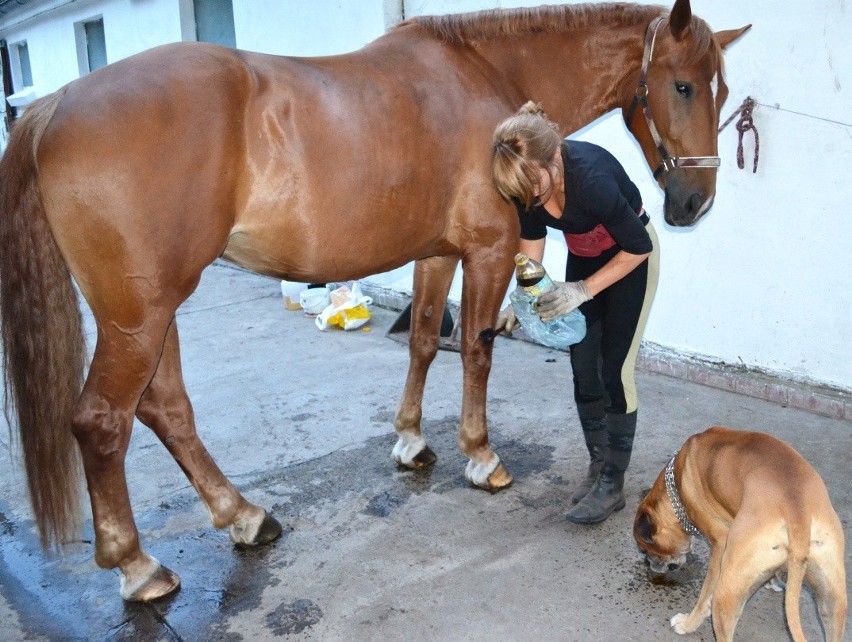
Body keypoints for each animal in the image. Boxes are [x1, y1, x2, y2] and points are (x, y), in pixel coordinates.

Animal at [0, 1, 744, 600]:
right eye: (681, 85)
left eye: (723, 88)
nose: (694, 203)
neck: (486, 75)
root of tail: (54, 106)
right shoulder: (488, 251)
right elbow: (476, 351)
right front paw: (482, 457)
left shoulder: (436, 253)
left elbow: (422, 341)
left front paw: (411, 442)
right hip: (139, 316)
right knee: (102, 422)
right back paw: (139, 567)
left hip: (149, 312)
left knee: (165, 408)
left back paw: (244, 517)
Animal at [632, 424, 844, 640]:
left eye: (646, 549)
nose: (649, 563)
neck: (676, 481)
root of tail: (797, 512)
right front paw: (774, 580)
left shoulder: (719, 544)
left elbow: (705, 595)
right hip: (832, 600)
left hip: (726, 592)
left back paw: (689, 623)